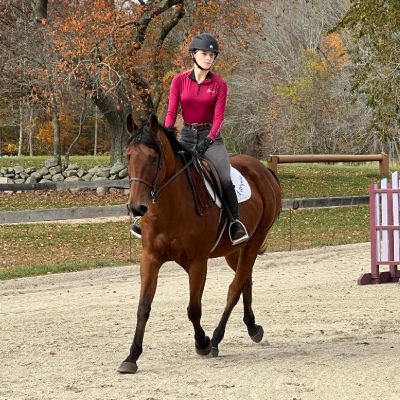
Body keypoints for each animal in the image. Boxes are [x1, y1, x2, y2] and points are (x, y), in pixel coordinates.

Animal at [118, 114, 282, 374]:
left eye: (154, 158)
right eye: (128, 156)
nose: (137, 207)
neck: (169, 208)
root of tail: (263, 169)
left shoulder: (197, 262)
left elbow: (193, 308)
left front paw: (202, 343)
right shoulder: (150, 258)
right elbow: (143, 307)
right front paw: (131, 357)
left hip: (254, 242)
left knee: (234, 288)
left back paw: (216, 339)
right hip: (234, 250)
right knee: (245, 280)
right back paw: (253, 328)